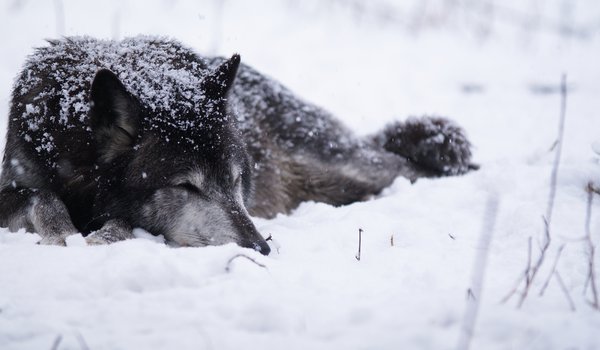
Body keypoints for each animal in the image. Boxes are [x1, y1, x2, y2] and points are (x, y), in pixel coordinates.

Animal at [0, 37, 476, 256]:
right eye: (186, 186)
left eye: (235, 180)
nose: (261, 248)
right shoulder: (17, 181)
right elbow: (41, 195)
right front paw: (64, 233)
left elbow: (117, 220)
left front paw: (99, 236)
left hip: (347, 170)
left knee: (411, 167)